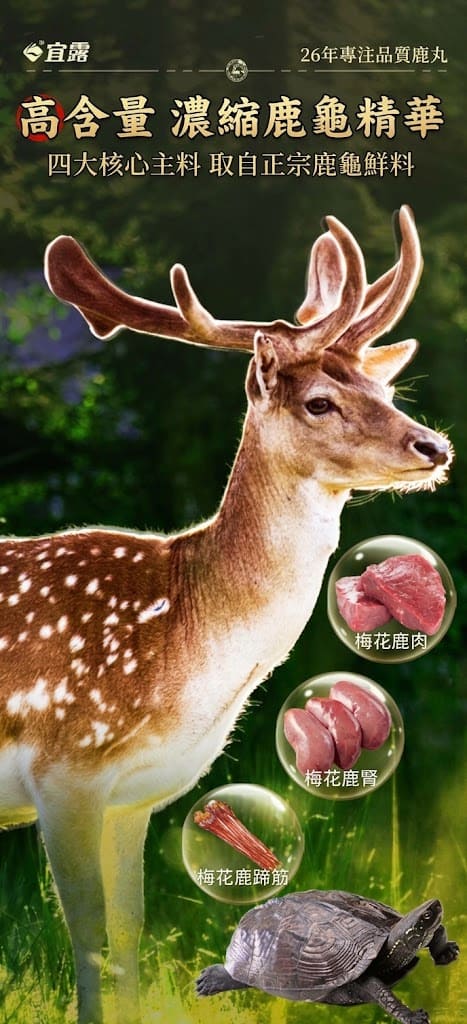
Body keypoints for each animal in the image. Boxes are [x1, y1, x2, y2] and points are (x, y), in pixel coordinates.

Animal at [0, 207, 452, 1024]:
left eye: (386, 386)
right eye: (318, 400)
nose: (432, 445)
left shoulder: (133, 798)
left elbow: (129, 934)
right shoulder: (66, 767)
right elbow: (86, 938)